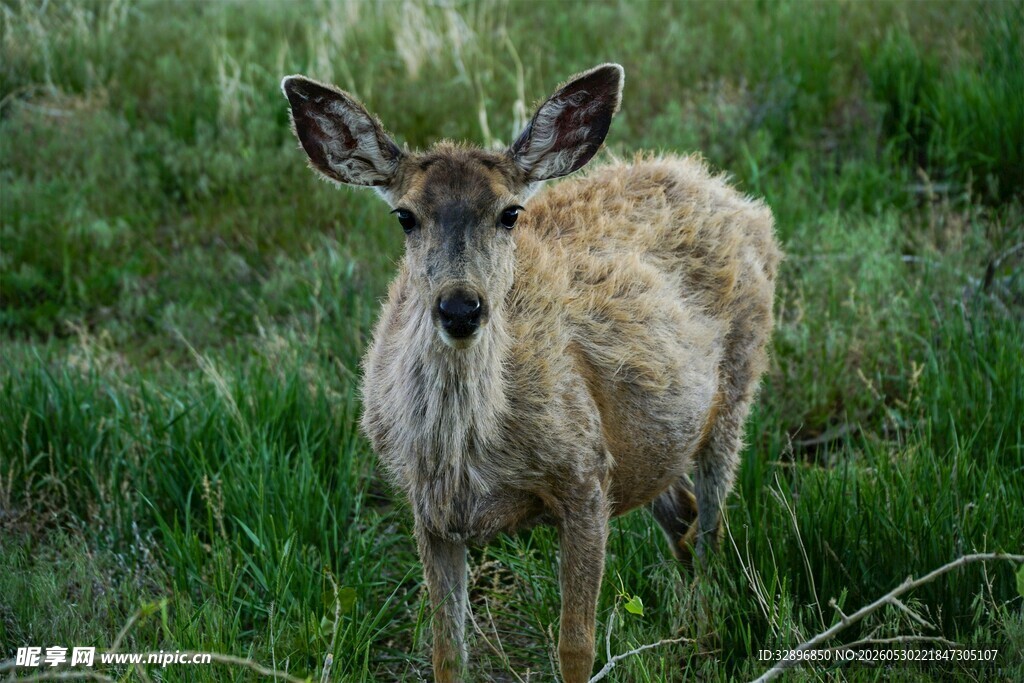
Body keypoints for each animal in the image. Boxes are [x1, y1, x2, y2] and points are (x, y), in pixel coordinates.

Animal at [281, 63, 780, 683]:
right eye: (405, 216)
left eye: (510, 213)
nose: (461, 307)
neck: (470, 457)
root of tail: (725, 189)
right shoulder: (428, 509)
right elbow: (447, 653)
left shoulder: (585, 475)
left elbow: (576, 647)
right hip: (652, 440)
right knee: (683, 514)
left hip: (737, 378)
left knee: (711, 524)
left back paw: (707, 628)